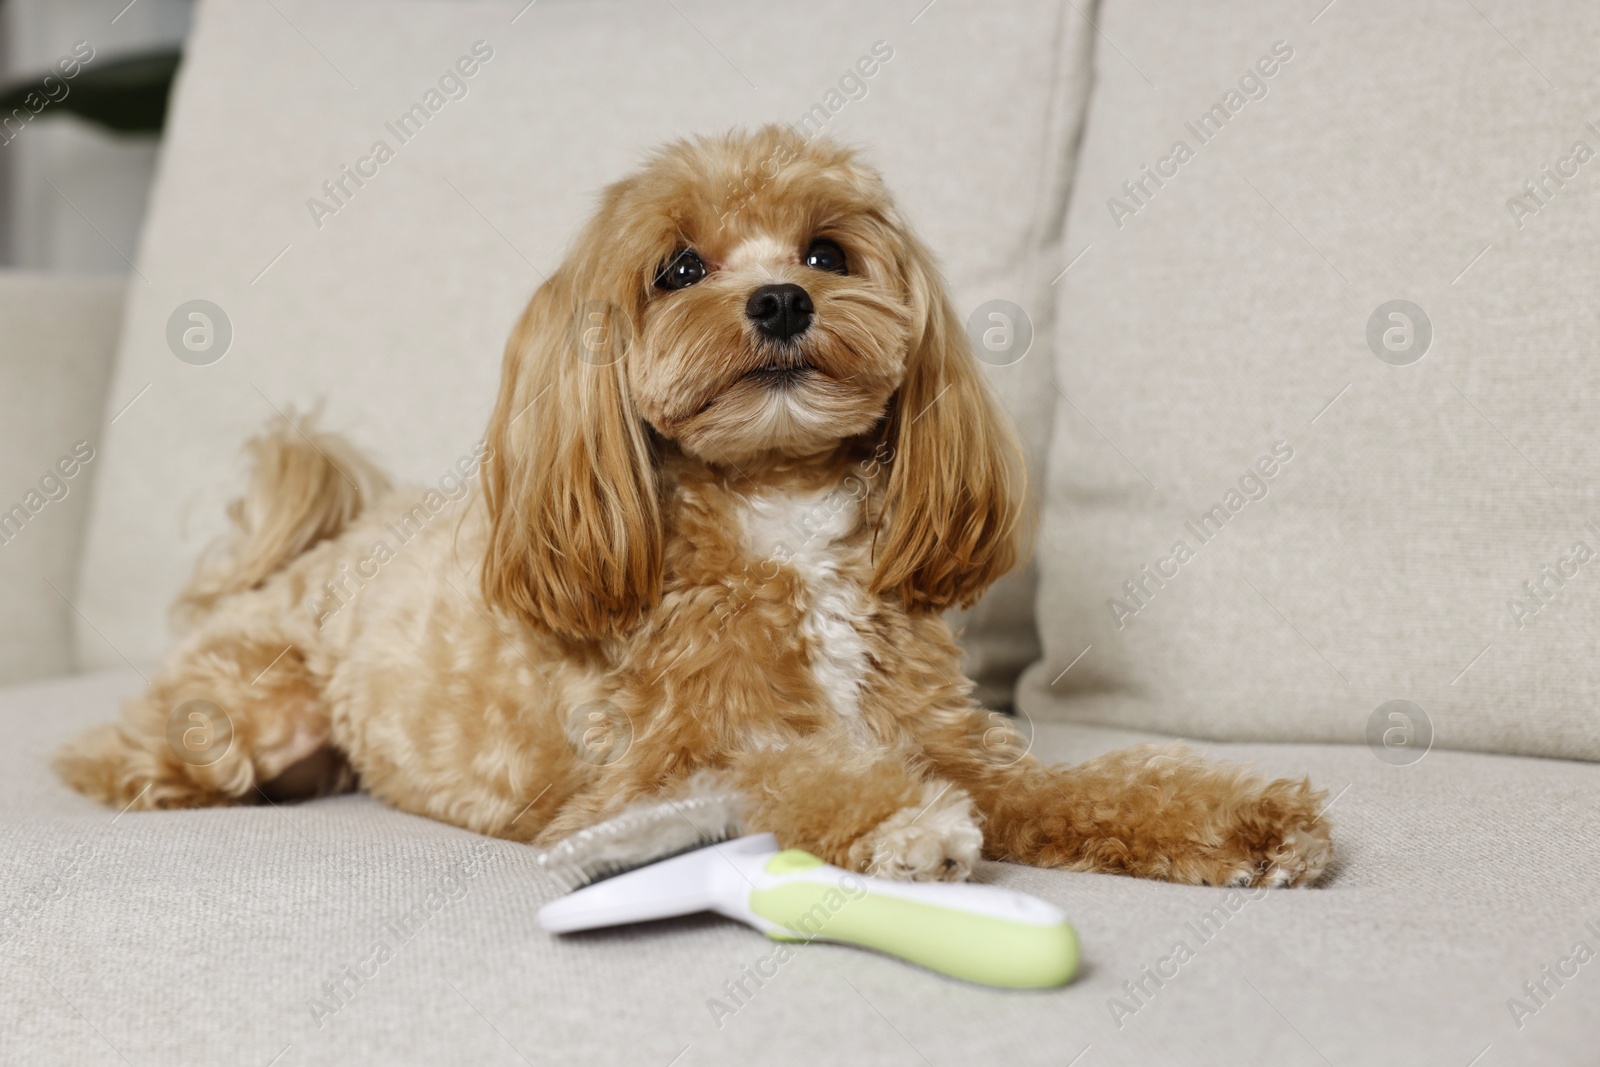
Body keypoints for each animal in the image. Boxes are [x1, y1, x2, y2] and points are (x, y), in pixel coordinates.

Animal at [56, 127, 1331, 895]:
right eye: (677, 268)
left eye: (827, 251)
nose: (779, 300)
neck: (782, 511)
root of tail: (309, 554)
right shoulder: (638, 780)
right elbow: (778, 767)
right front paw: (899, 822)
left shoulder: (960, 744)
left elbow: (1094, 786)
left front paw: (1244, 819)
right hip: (233, 716)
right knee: (131, 751)